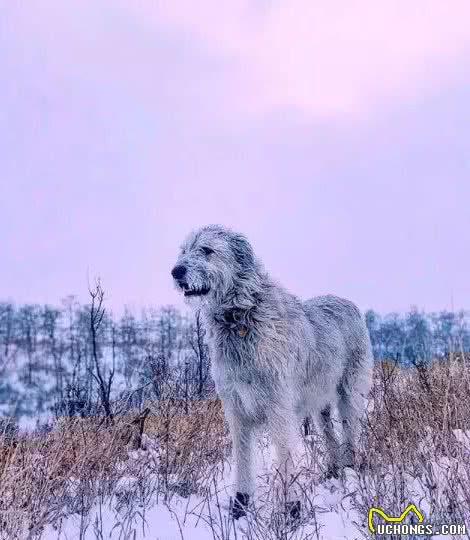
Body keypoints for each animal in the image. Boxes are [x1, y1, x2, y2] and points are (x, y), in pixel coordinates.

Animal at [171, 224, 372, 520]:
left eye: (206, 250)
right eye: (184, 251)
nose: (176, 271)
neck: (240, 318)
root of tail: (348, 303)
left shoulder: (279, 406)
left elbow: (285, 452)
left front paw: (292, 508)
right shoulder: (236, 408)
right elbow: (242, 456)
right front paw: (240, 506)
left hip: (349, 392)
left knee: (349, 429)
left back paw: (350, 470)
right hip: (319, 401)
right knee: (329, 433)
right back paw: (335, 470)